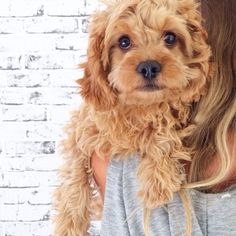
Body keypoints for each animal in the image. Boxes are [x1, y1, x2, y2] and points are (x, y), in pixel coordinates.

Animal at [54, 0, 211, 234]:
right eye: (124, 42)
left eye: (170, 37)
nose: (149, 67)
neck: (138, 109)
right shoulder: (84, 127)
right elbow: (74, 174)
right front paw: (69, 226)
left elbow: (163, 130)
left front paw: (157, 183)